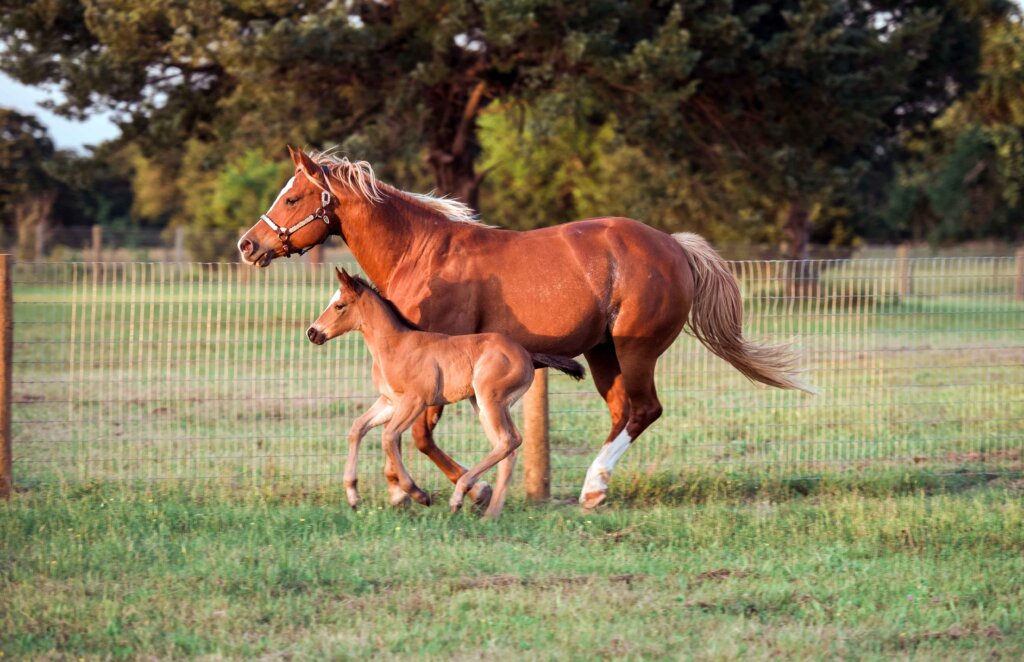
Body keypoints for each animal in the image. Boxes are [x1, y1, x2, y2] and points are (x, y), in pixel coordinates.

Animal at [307, 268, 585, 518]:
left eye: (340, 305)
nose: (312, 332)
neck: (397, 345)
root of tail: (527, 354)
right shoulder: (390, 401)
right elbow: (357, 428)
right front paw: (353, 496)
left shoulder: (415, 401)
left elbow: (388, 437)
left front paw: (418, 494)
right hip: (482, 405)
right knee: (508, 447)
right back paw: (490, 514)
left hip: (490, 400)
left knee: (508, 441)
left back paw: (460, 497)